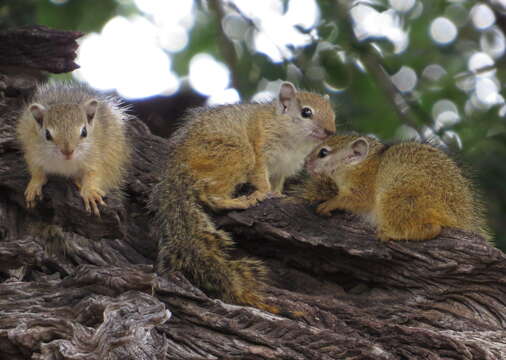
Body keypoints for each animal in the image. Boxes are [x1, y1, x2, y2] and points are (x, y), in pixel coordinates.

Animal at [15, 81, 130, 215]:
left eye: (84, 132)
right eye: (47, 134)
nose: (68, 151)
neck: (65, 163)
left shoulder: (95, 156)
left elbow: (94, 173)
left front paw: (90, 191)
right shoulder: (32, 151)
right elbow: (36, 171)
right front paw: (34, 184)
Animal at [150, 82, 336, 312]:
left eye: (333, 113)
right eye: (306, 112)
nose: (330, 131)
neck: (293, 140)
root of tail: (177, 166)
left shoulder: (282, 168)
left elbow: (277, 183)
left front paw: (277, 193)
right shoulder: (261, 147)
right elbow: (260, 177)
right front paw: (264, 193)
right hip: (234, 153)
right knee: (209, 194)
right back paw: (238, 201)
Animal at [302, 135, 488, 242]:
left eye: (323, 153)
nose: (306, 162)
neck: (364, 164)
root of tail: (459, 220)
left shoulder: (363, 185)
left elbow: (356, 199)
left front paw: (331, 203)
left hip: (399, 195)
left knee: (432, 229)